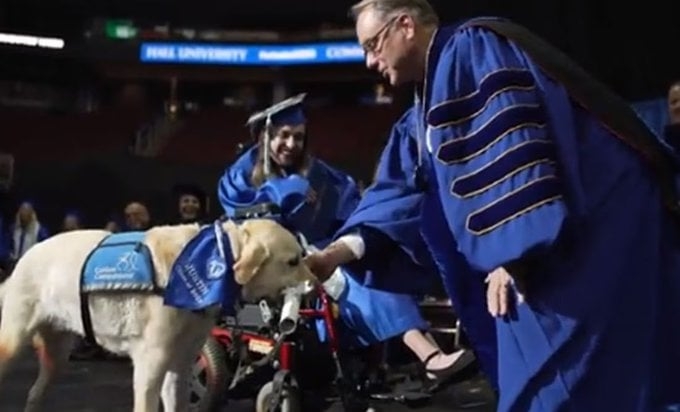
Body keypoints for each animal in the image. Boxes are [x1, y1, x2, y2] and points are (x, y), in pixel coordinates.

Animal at [0, 217, 314, 410]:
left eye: (303, 257)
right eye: (292, 261)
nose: (318, 281)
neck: (218, 257)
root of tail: (26, 256)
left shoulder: (181, 365)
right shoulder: (151, 364)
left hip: (56, 356)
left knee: (35, 393)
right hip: (13, 343)